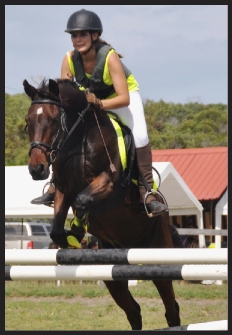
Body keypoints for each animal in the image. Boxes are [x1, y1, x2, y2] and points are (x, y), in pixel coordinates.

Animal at [22, 78, 180, 330]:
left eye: (54, 120)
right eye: (28, 121)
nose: (37, 169)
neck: (79, 139)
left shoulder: (108, 182)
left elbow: (83, 200)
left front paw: (77, 230)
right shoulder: (63, 189)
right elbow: (56, 228)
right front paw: (72, 238)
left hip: (159, 256)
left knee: (170, 306)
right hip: (111, 273)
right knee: (133, 310)